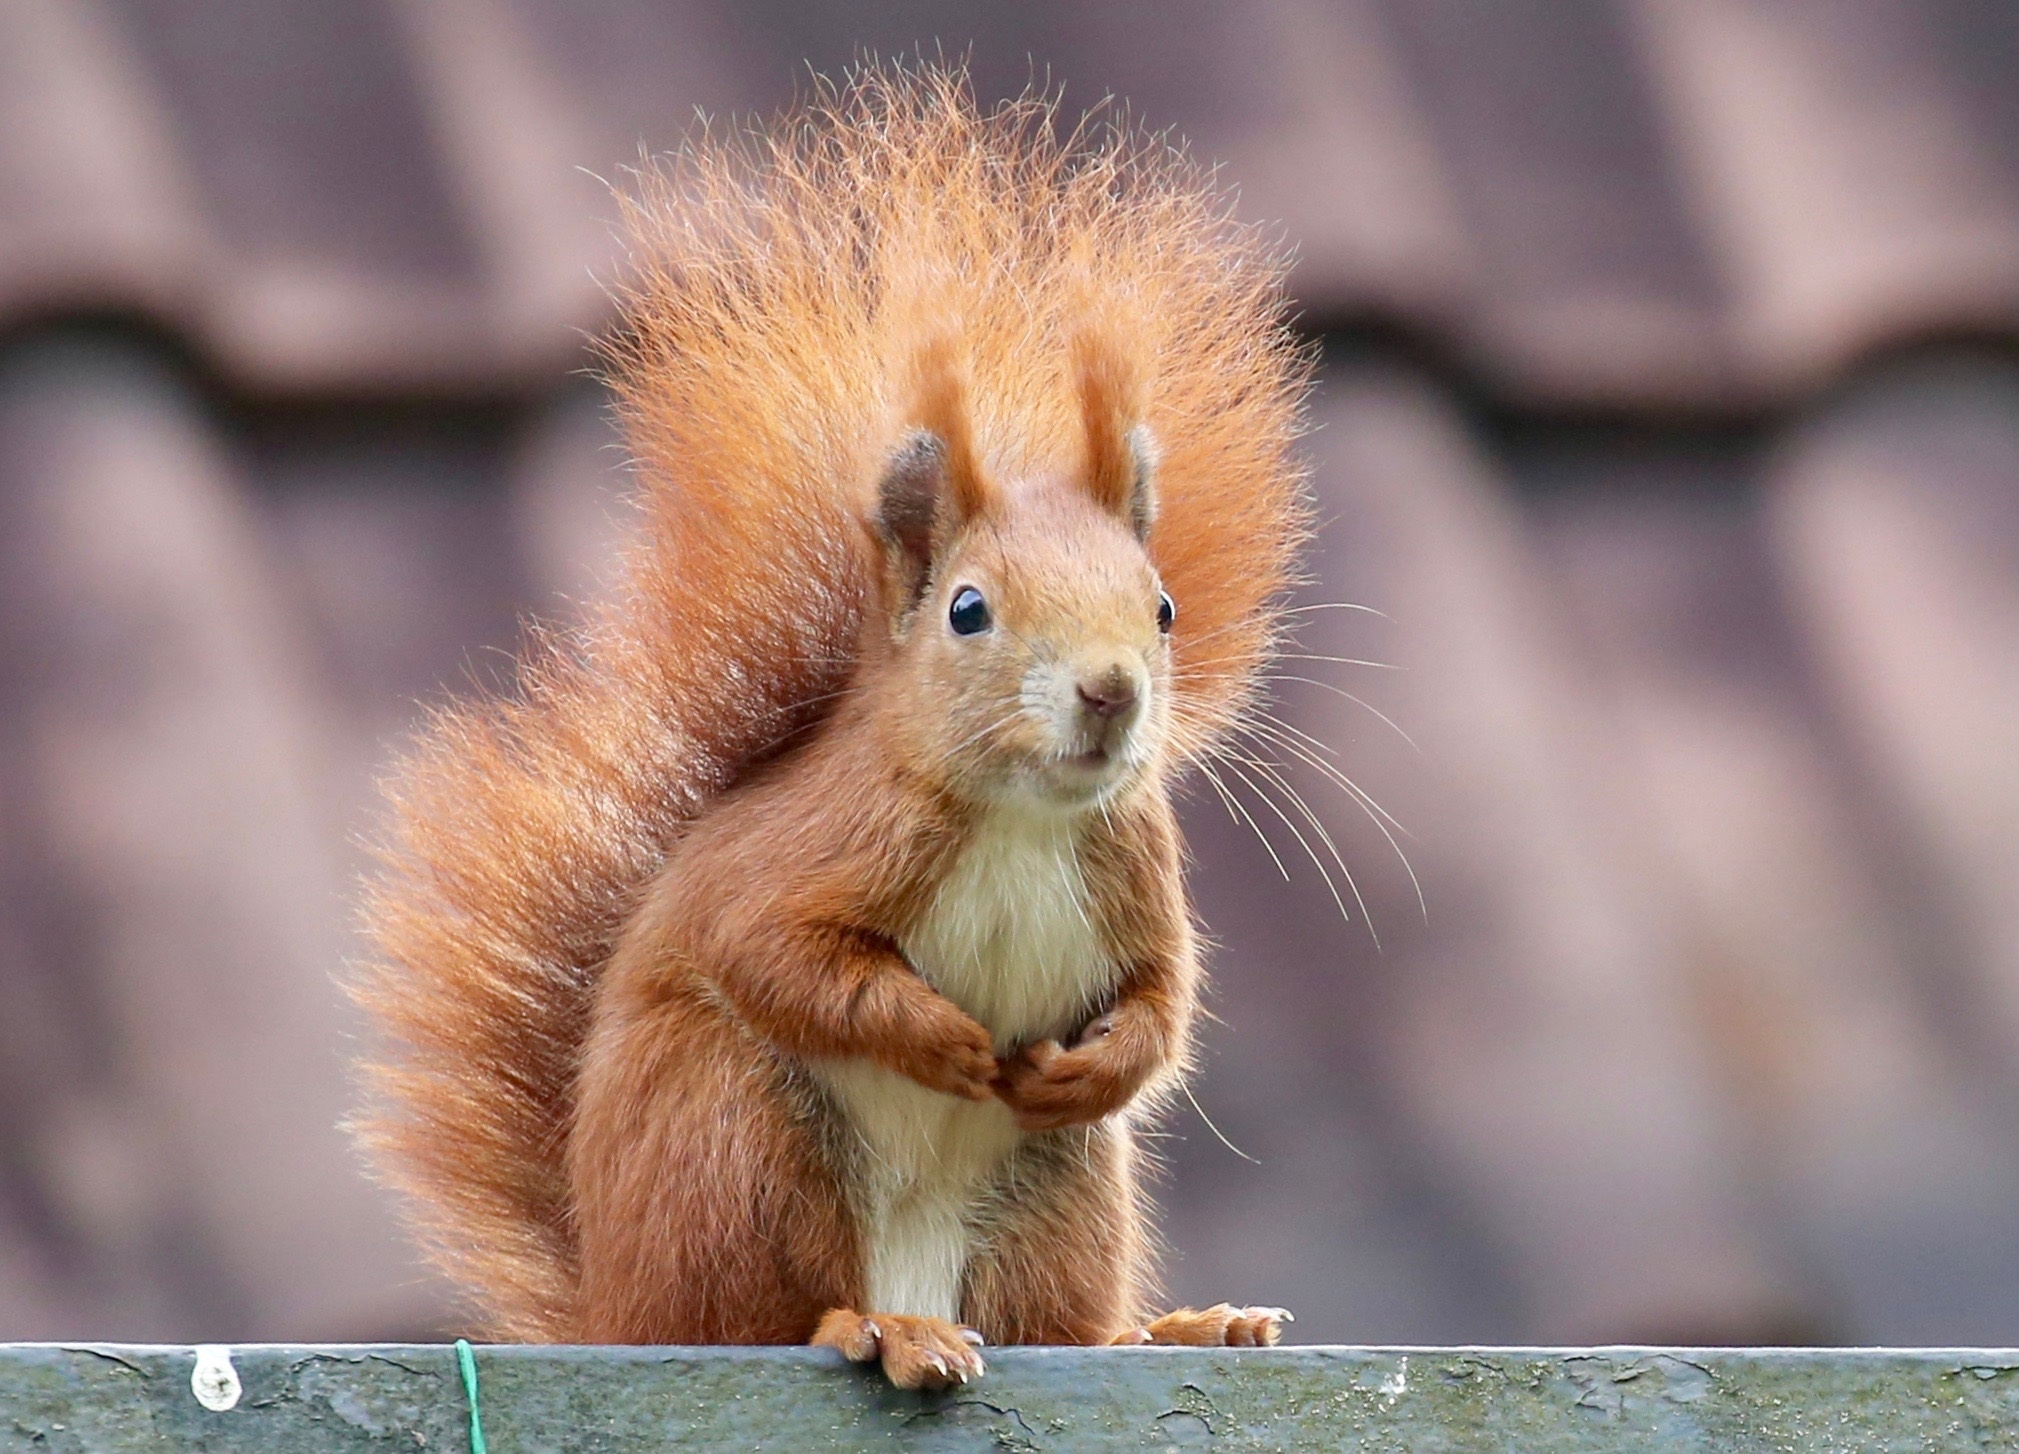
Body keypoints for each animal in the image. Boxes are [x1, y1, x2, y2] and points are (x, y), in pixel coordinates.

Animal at [353, 65, 1308, 1389]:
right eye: (969, 609)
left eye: (1162, 606)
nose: (1112, 689)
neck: (1019, 818)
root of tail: (618, 1302)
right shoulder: (821, 847)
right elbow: (780, 953)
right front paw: (946, 1038)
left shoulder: (1133, 869)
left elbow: (1164, 1006)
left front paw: (1087, 1062)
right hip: (733, 1140)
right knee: (762, 1312)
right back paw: (875, 1328)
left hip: (1056, 1192)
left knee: (1053, 1323)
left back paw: (1169, 1327)